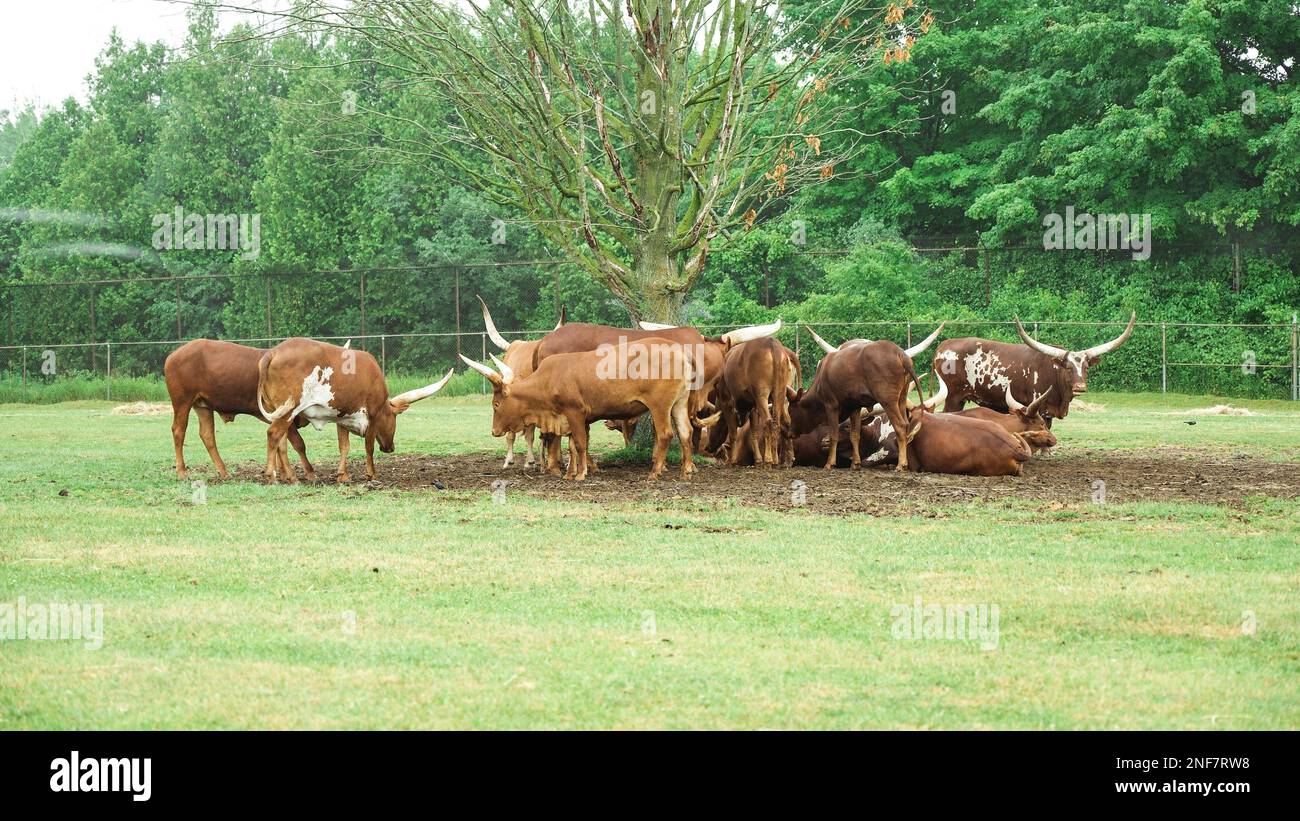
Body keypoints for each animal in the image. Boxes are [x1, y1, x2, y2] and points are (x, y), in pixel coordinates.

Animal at [163, 337, 315, 480]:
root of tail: (173, 355)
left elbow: (281, 445)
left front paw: (284, 474)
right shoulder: (286, 416)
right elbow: (297, 443)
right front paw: (305, 473)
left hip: (202, 406)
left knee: (207, 435)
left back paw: (223, 472)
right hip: (182, 402)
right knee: (179, 431)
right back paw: (182, 472)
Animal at [256, 337, 454, 483]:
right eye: (394, 417)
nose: (390, 448)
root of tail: (273, 352)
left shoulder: (342, 416)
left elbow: (344, 445)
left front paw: (343, 475)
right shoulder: (372, 415)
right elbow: (369, 446)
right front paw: (371, 474)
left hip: (278, 411)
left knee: (283, 442)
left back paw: (292, 477)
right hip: (288, 410)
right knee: (273, 435)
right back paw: (272, 476)